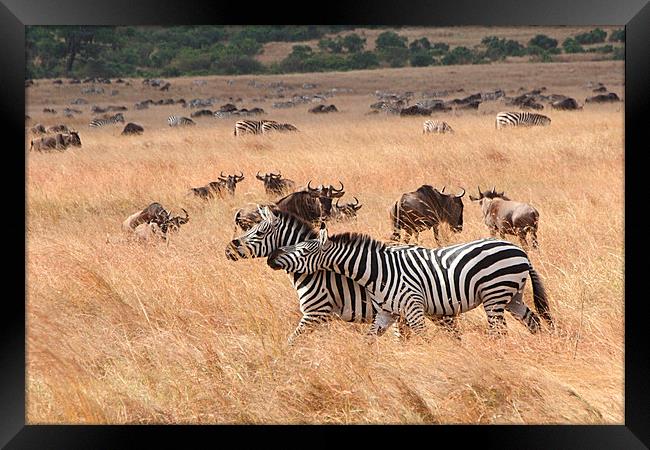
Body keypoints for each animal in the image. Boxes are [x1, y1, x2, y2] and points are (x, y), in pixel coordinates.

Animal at [266, 223, 556, 340]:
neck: (378, 273)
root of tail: (519, 250)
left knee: (499, 331)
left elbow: (424, 339)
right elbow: (368, 341)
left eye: (304, 251)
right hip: (512, 296)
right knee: (533, 321)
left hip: (494, 294)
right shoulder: (386, 313)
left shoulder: (413, 306)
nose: (272, 258)